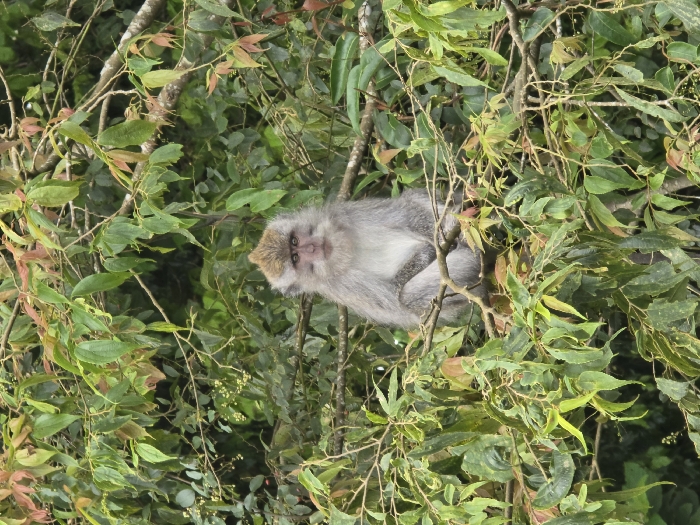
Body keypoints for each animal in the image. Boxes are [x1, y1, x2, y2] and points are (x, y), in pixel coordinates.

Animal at [248, 190, 484, 328]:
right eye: (296, 258)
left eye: (294, 241)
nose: (312, 246)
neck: (345, 251)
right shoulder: (342, 285)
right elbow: (394, 298)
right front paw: (428, 251)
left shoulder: (344, 214)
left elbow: (405, 210)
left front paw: (440, 236)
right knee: (410, 297)